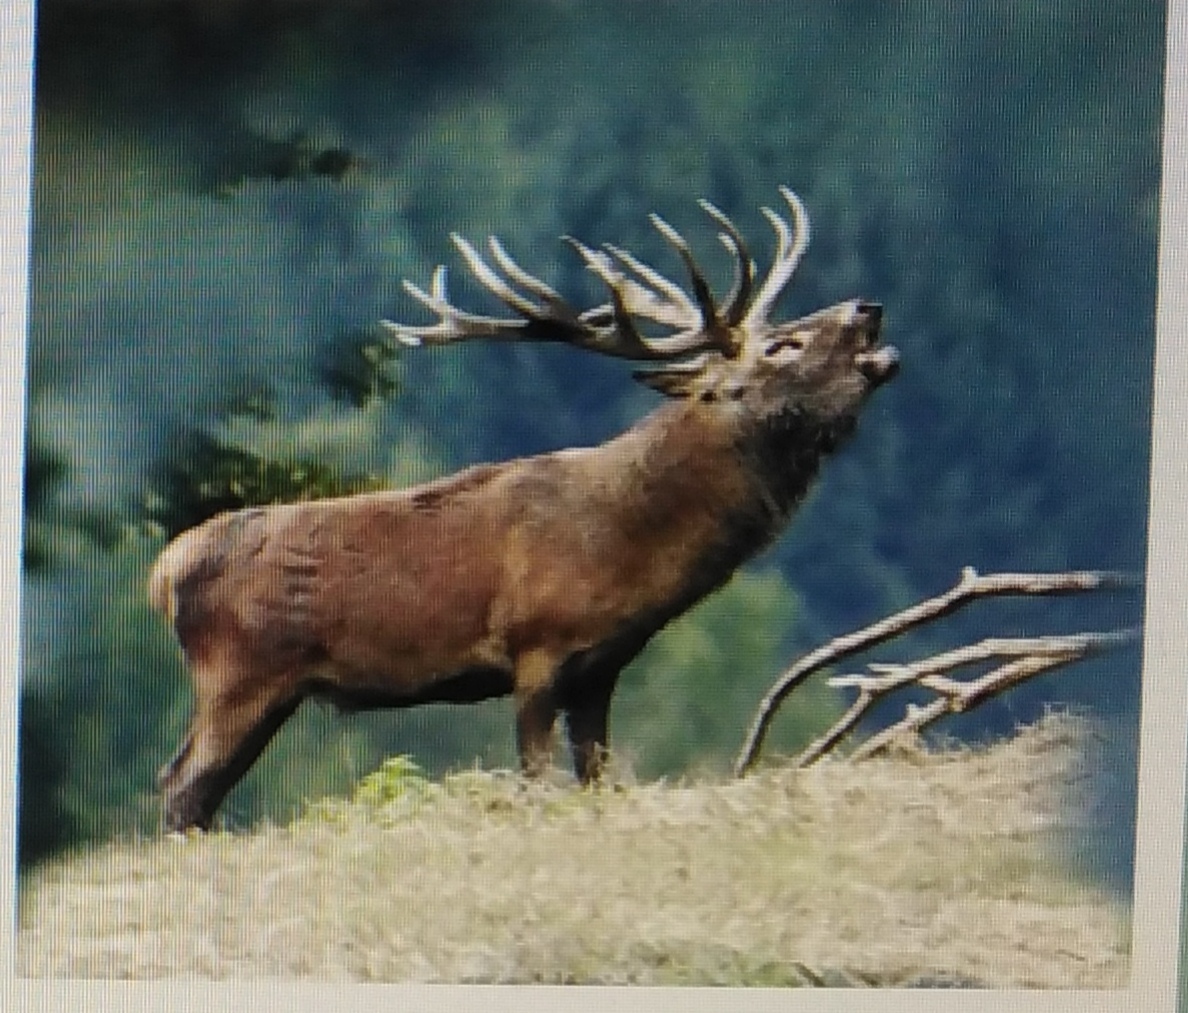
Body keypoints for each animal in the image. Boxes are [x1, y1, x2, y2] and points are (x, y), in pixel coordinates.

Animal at [148, 184, 893, 831]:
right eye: (781, 346)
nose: (865, 308)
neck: (629, 545)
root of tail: (164, 572)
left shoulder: (602, 665)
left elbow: (597, 777)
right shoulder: (536, 645)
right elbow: (537, 777)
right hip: (240, 672)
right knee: (181, 784)